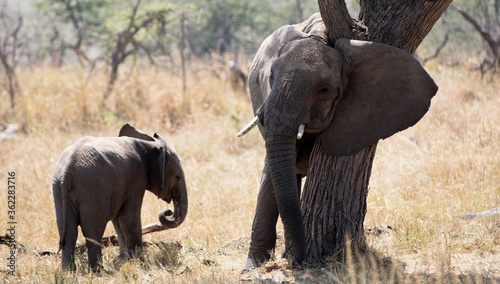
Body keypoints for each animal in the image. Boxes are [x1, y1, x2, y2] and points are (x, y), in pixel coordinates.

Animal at [52, 123, 188, 272]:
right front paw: (138, 261)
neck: (150, 146)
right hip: (93, 189)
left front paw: (123, 260)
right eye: (177, 177)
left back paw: (68, 273)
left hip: (59, 190)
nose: (169, 212)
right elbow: (129, 219)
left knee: (68, 232)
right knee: (93, 232)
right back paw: (100, 272)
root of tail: (67, 173)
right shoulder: (136, 179)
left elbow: (118, 221)